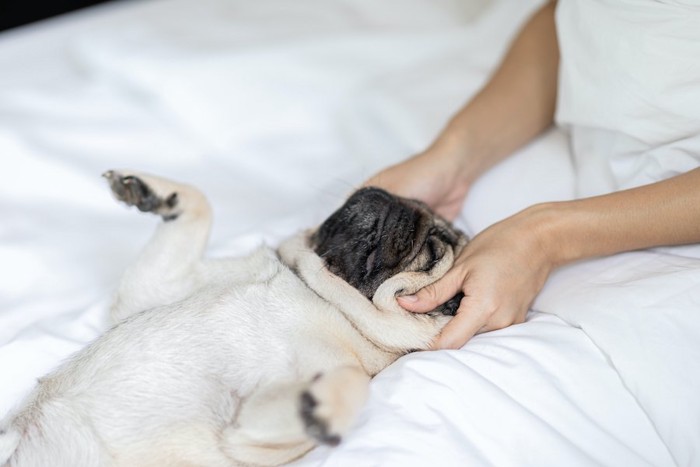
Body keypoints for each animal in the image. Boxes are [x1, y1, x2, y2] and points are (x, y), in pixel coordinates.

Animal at [2, 172, 468, 467]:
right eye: (415, 205)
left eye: (433, 251)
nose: (399, 203)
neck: (321, 293)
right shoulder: (159, 285)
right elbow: (199, 205)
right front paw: (158, 193)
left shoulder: (247, 443)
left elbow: (354, 380)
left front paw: (323, 407)